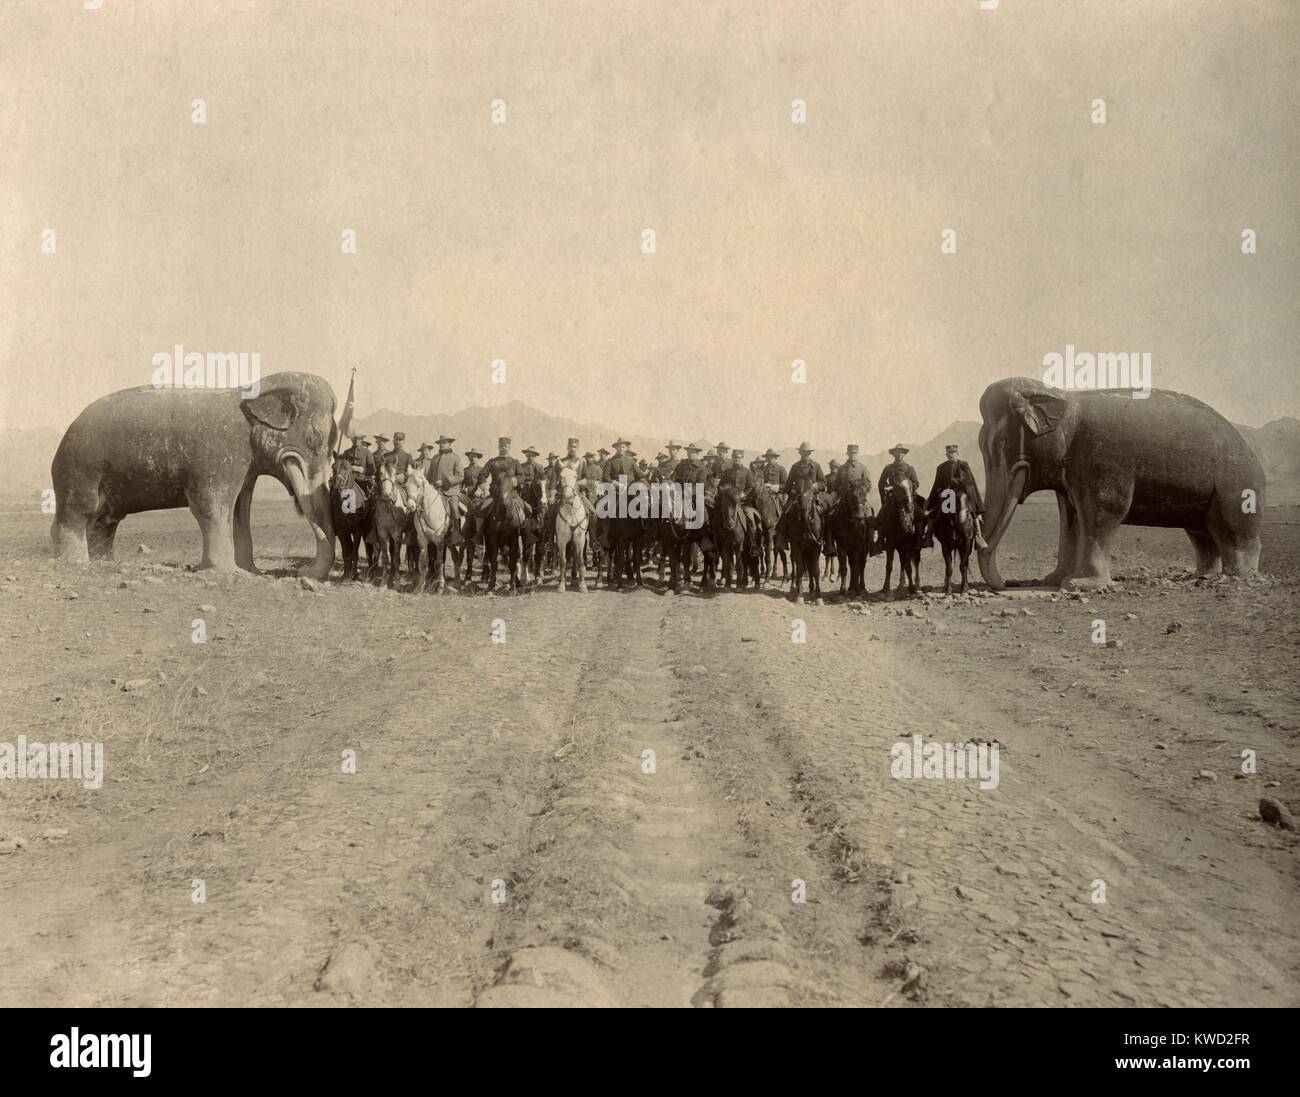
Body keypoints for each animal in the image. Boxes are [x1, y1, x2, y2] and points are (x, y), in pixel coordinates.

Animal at [327, 452, 374, 582]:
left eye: (347, 468)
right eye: (333, 467)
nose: (338, 489)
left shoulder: (357, 531)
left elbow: (354, 553)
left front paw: (355, 576)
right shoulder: (342, 531)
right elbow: (346, 553)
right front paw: (346, 575)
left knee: (368, 549)